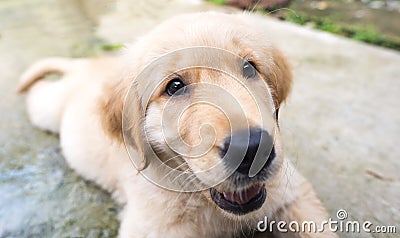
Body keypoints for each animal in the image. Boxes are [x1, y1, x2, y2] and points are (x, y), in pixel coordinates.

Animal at [19, 11, 338, 238]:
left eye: (250, 67)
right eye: (174, 86)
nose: (251, 148)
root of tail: (89, 64)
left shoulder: (295, 194)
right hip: (48, 110)